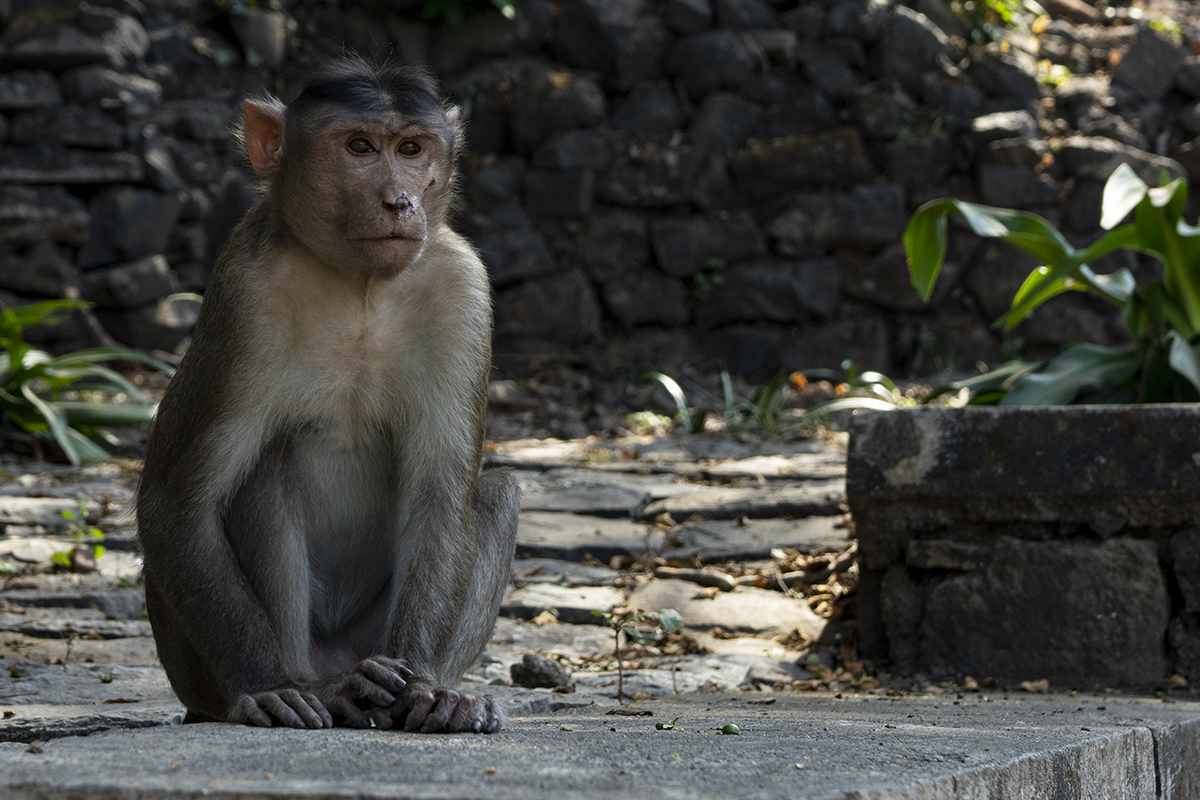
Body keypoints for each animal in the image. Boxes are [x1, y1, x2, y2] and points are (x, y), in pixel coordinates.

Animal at [137, 56, 520, 734]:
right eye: (360, 147)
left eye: (412, 149)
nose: (400, 200)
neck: (358, 286)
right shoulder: (243, 296)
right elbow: (176, 502)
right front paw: (267, 687)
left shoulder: (464, 289)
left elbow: (441, 499)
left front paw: (430, 690)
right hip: (203, 673)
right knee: (261, 469)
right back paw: (321, 688)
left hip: (370, 637)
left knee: (494, 493)